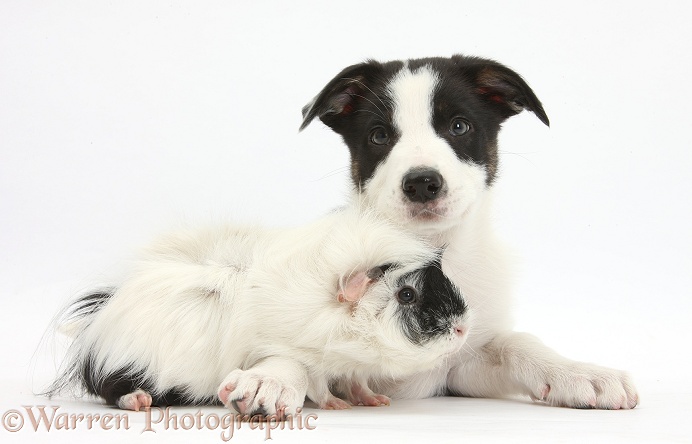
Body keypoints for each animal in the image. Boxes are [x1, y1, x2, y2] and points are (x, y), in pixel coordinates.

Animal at [300, 54, 640, 410]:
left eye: (459, 126)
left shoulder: (456, 368)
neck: (431, 245)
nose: (422, 183)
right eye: (378, 136)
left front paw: (579, 373)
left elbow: (517, 343)